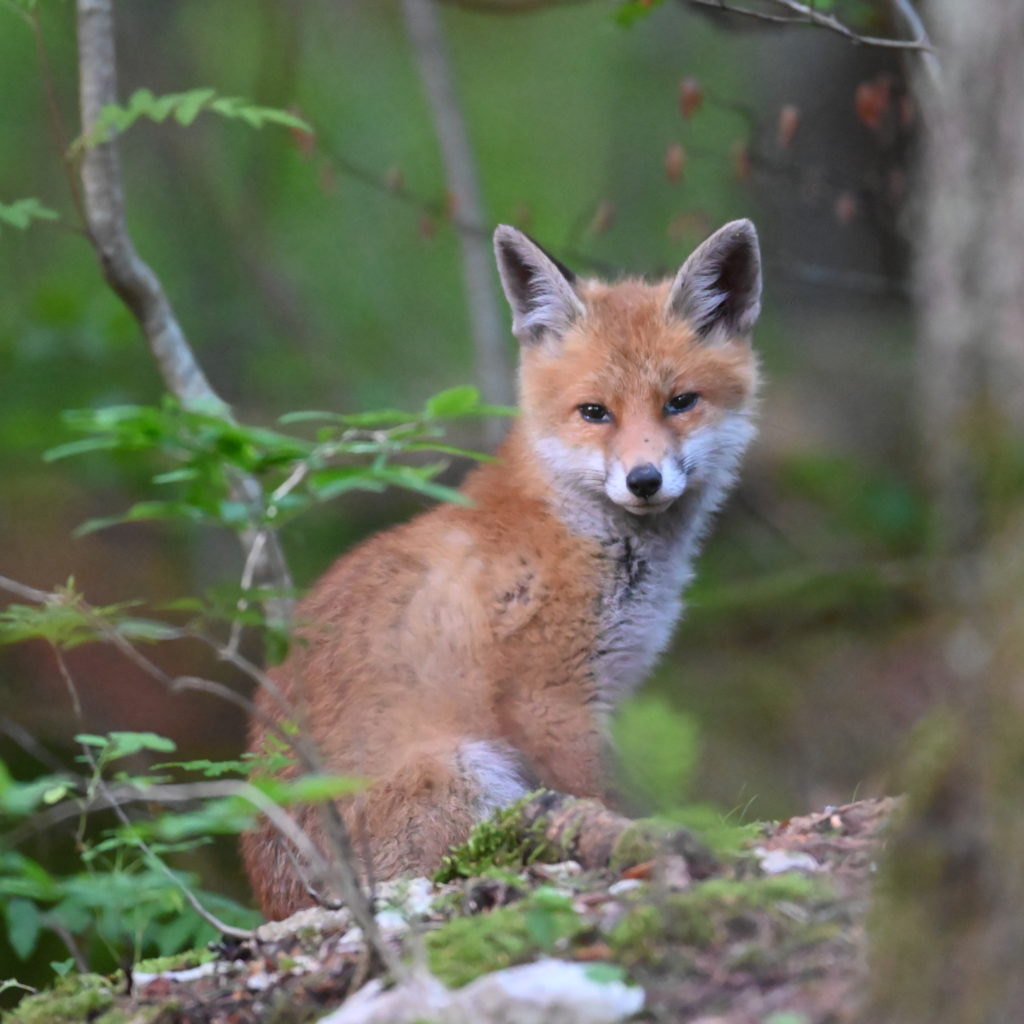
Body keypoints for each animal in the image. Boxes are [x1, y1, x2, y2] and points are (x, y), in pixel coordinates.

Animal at [242, 219, 762, 920]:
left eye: (680, 402)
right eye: (594, 412)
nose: (644, 480)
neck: (574, 530)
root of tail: (279, 901)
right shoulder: (550, 703)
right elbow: (604, 798)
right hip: (465, 768)